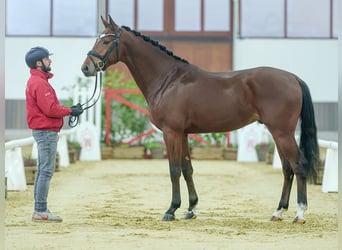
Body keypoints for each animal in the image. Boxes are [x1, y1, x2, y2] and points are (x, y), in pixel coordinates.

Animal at [81, 15, 320, 224]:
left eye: (106, 40)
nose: (86, 68)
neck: (168, 80)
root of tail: (293, 78)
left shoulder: (171, 132)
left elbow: (174, 170)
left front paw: (171, 210)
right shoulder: (183, 133)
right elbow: (187, 169)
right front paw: (191, 209)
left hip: (282, 132)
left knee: (299, 165)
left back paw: (300, 213)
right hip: (278, 133)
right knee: (287, 169)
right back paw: (278, 212)